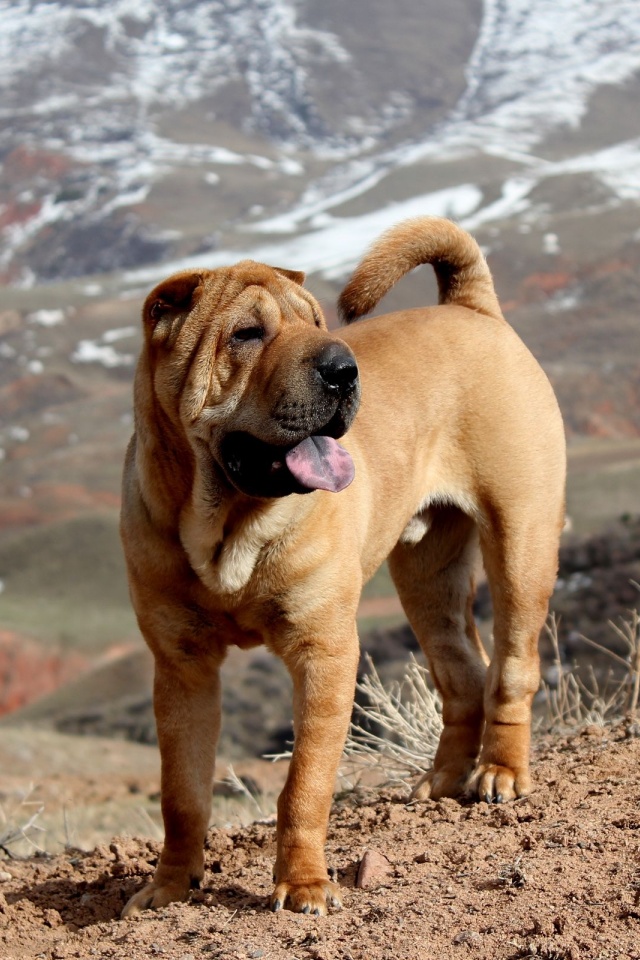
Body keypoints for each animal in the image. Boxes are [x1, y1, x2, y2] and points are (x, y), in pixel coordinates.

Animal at [119, 216, 564, 916]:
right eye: (247, 333)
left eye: (317, 323)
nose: (342, 369)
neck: (227, 526)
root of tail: (473, 309)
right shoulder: (183, 668)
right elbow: (182, 793)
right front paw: (166, 888)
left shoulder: (323, 650)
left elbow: (304, 782)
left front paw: (303, 886)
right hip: (427, 579)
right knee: (463, 673)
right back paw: (442, 782)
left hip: (522, 544)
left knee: (513, 667)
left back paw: (500, 772)